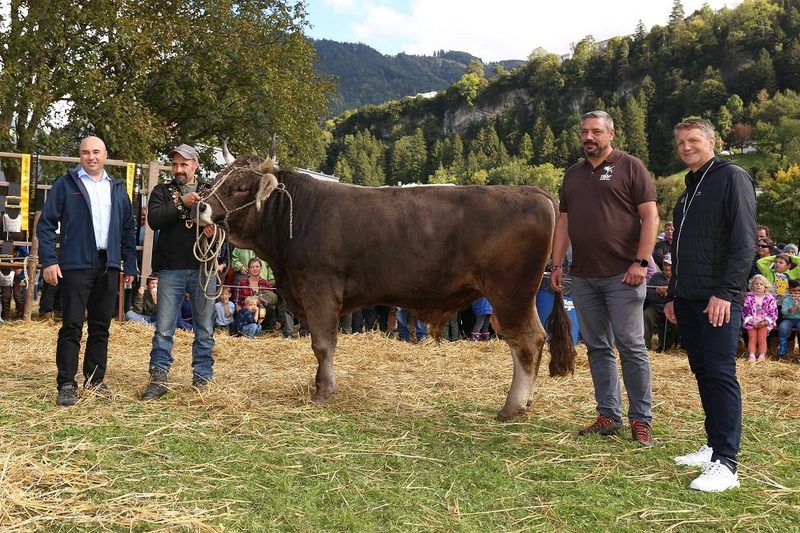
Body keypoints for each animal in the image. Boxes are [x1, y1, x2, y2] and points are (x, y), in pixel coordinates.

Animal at [196, 155, 576, 421]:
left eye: (240, 187)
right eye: (217, 179)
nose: (199, 206)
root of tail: (532, 191)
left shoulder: (320, 288)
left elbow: (323, 344)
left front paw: (324, 392)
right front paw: (319, 385)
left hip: (510, 293)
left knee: (525, 341)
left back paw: (512, 407)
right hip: (519, 296)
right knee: (534, 339)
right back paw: (525, 401)